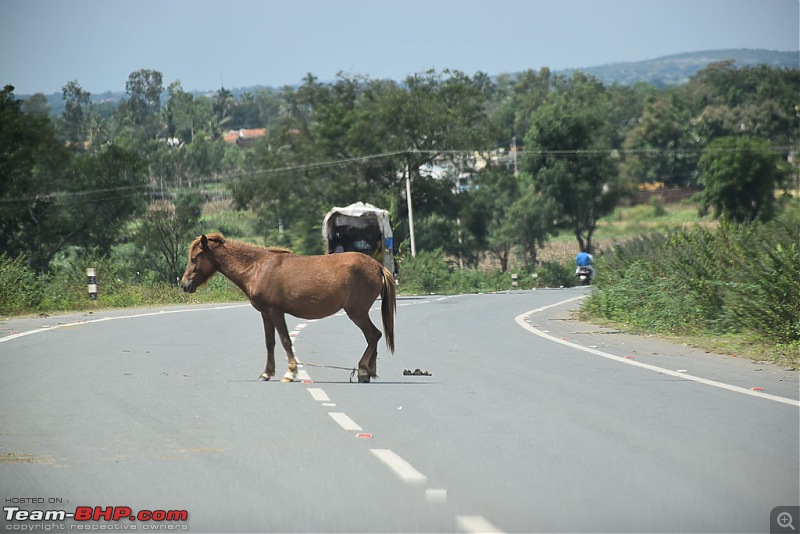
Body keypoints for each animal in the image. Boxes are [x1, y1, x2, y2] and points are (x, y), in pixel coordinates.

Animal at [179, 232, 396, 384]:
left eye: (195, 258)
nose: (184, 284)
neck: (257, 268)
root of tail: (378, 267)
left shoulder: (276, 312)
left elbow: (284, 341)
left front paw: (290, 373)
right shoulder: (266, 314)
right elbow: (270, 343)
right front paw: (266, 373)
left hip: (357, 313)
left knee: (373, 335)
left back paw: (363, 370)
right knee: (372, 337)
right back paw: (368, 372)